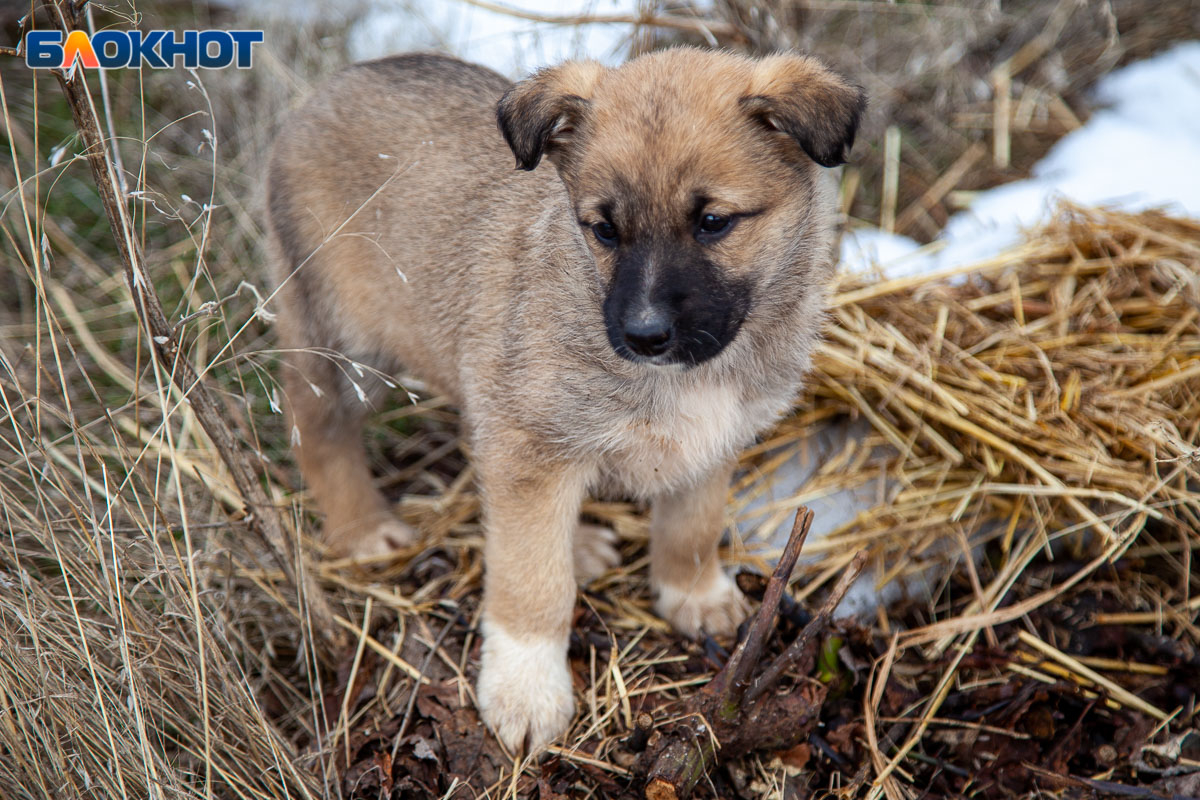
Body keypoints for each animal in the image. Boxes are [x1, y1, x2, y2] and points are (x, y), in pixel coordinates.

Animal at [265, 48, 864, 753]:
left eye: (713, 223)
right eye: (604, 230)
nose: (644, 335)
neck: (682, 376)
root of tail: (325, 90)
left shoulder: (710, 441)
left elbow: (692, 526)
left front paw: (693, 594)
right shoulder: (531, 444)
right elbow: (532, 583)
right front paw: (525, 691)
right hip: (340, 340)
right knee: (318, 428)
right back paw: (363, 529)